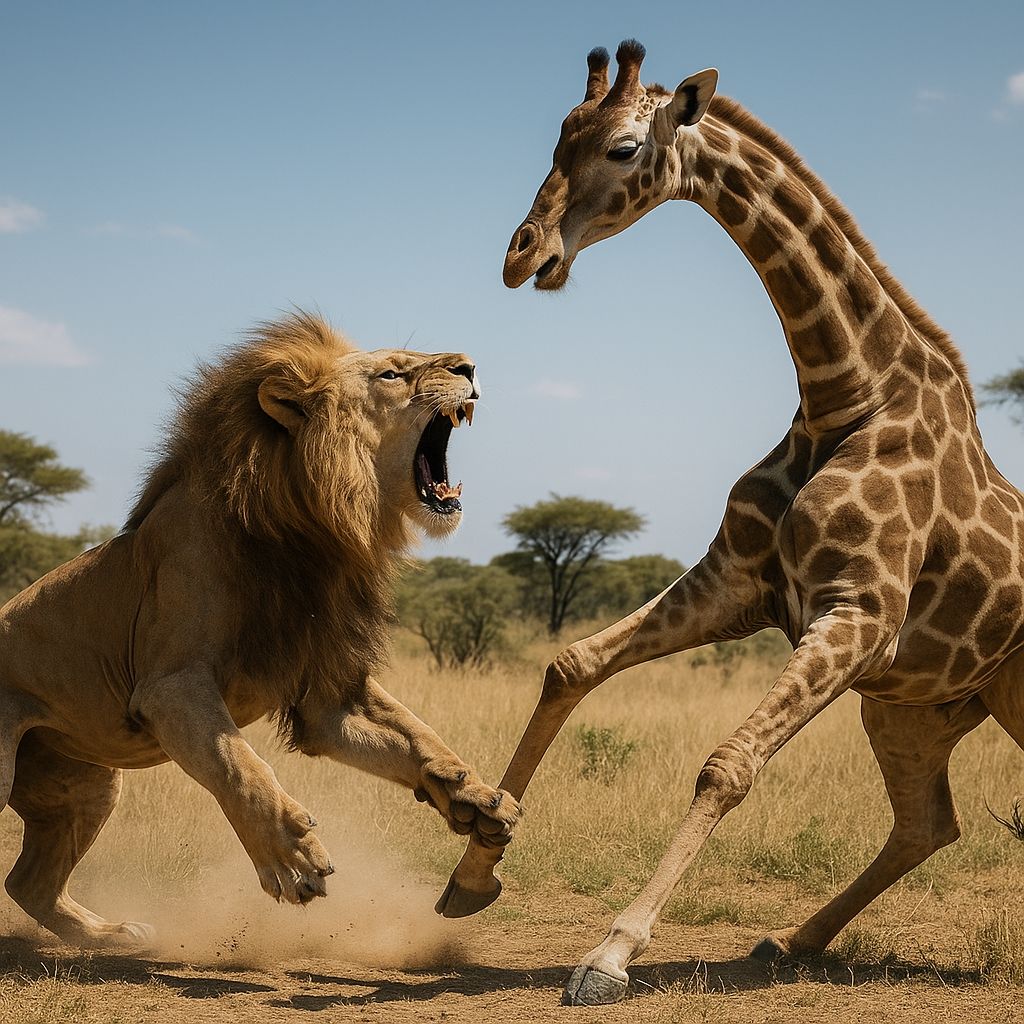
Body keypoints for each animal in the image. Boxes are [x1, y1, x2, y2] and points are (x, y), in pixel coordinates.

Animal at [0, 311, 520, 947]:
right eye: (392, 374)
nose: (469, 366)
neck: (315, 526)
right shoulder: (170, 686)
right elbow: (239, 765)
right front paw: (291, 859)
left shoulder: (327, 691)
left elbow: (414, 732)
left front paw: (472, 795)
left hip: (88, 786)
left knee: (29, 883)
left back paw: (111, 934)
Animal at [434, 41, 1024, 1005]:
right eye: (559, 137)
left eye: (624, 148)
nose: (523, 255)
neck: (844, 394)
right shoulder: (740, 584)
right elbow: (571, 664)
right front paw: (476, 864)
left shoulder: (860, 614)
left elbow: (727, 764)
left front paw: (608, 955)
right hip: (916, 706)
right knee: (927, 823)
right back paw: (787, 942)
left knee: (930, 822)